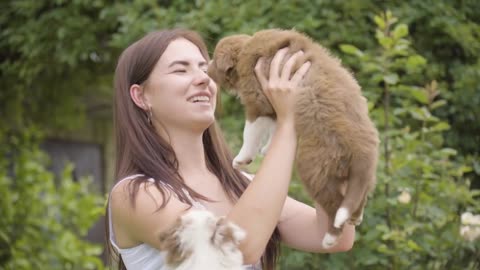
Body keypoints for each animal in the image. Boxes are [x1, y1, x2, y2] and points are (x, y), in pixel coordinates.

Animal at [208, 29, 380, 249]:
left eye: (214, 60)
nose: (205, 68)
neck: (245, 51)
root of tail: (361, 152)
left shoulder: (257, 103)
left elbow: (250, 132)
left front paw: (241, 159)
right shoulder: (273, 107)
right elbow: (275, 128)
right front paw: (266, 149)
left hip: (314, 168)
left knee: (334, 203)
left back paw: (330, 238)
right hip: (361, 176)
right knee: (357, 197)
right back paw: (355, 216)